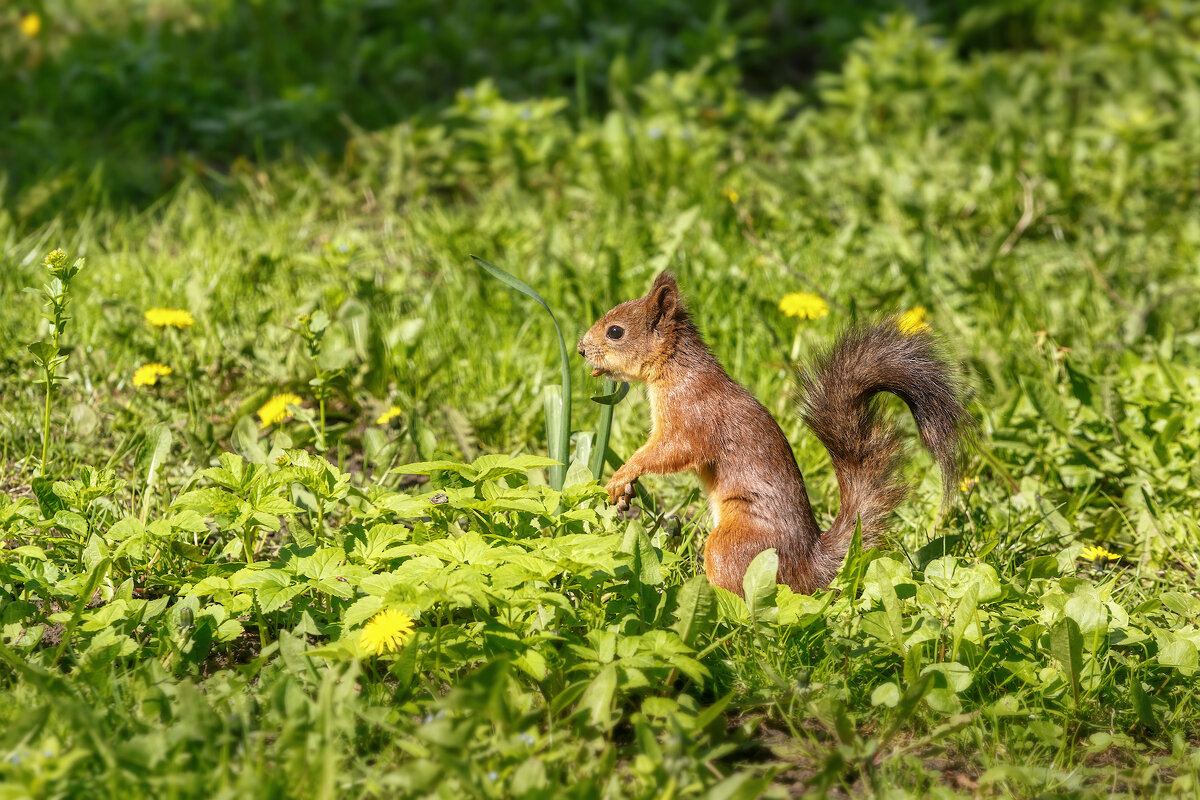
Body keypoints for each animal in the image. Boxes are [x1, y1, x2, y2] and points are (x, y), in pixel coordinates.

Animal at [576, 272, 969, 597]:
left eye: (615, 331)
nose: (580, 349)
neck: (676, 368)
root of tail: (808, 566)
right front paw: (625, 494)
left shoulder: (692, 415)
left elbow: (673, 452)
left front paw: (624, 472)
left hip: (736, 545)